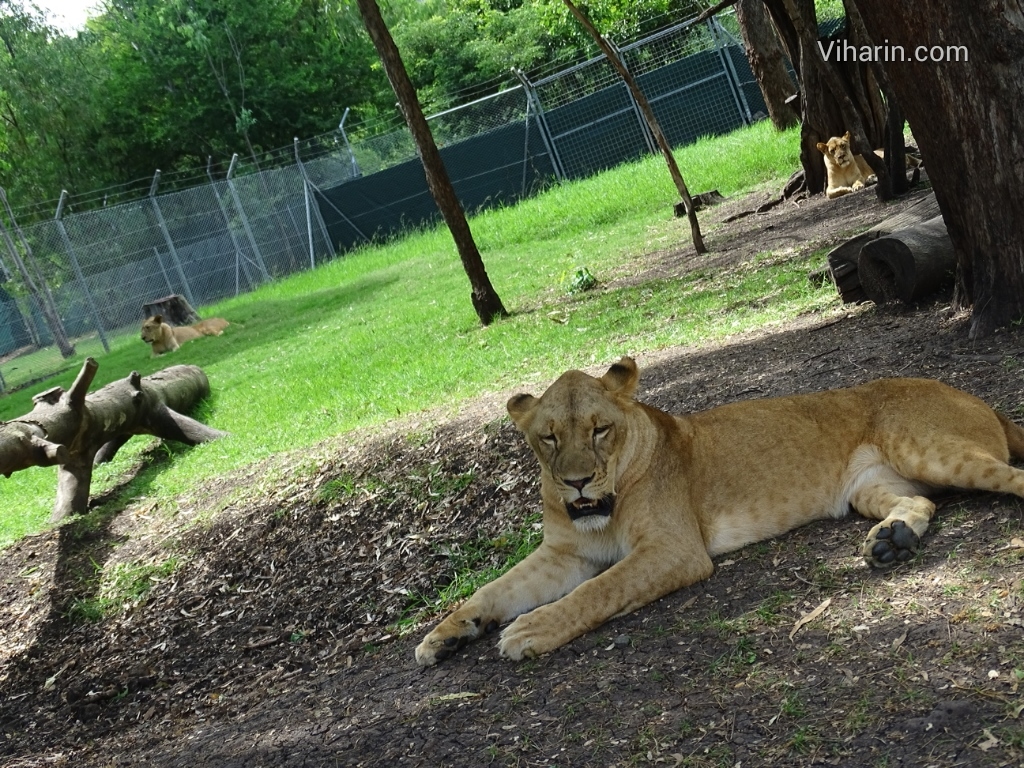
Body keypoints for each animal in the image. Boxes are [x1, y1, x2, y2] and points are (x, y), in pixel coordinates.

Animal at [413, 358, 1024, 663]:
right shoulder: (564, 553)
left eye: (600, 429)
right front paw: (446, 635)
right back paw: (892, 540)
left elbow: (599, 590)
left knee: (1013, 477)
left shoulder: (674, 550)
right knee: (919, 499)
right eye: (548, 438)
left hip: (929, 448)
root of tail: (972, 396)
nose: (577, 481)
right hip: (869, 486)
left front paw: (531, 629)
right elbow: (494, 589)